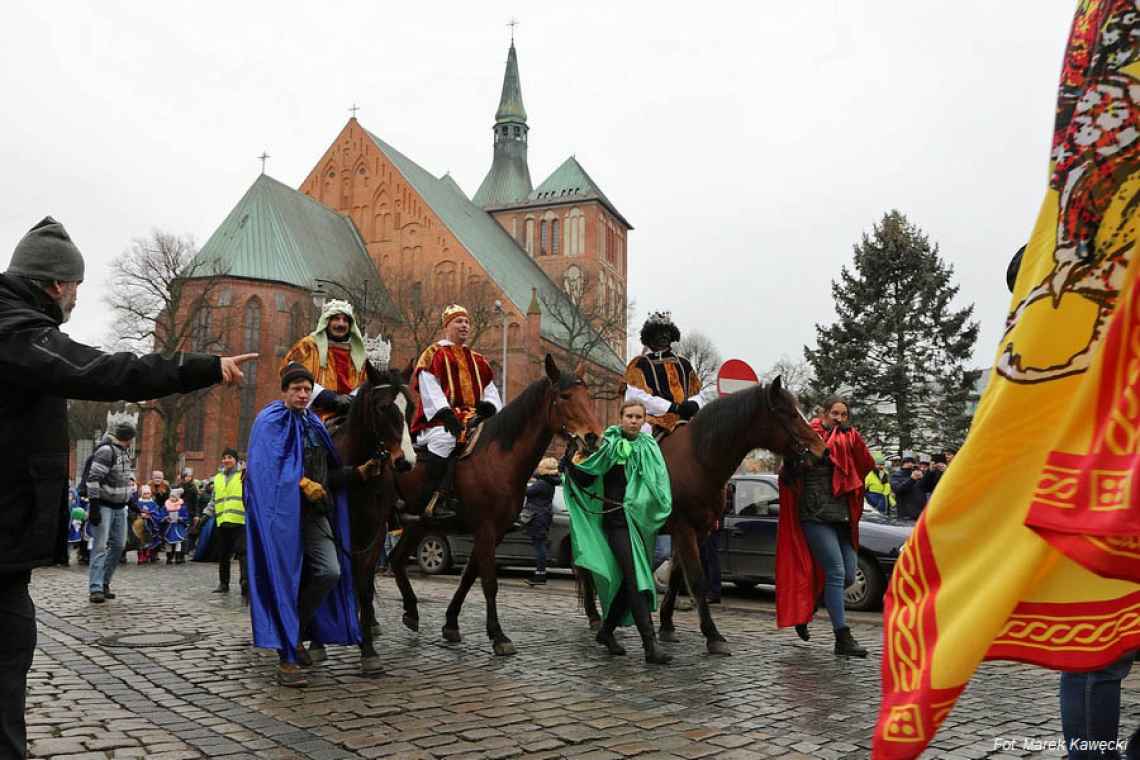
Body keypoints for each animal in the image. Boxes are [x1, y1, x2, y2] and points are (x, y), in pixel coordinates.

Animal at [310, 360, 417, 674]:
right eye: (382, 407)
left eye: (411, 407)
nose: (406, 461)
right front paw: (317, 643)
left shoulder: (374, 534)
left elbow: (364, 587)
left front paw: (368, 649)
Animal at [387, 353, 606, 656]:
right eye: (565, 396)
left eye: (588, 395)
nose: (594, 437)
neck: (499, 458)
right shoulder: (486, 529)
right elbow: (489, 582)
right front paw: (498, 635)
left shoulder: (494, 531)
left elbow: (470, 575)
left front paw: (451, 623)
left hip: (417, 523)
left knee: (395, 560)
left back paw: (409, 611)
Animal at [583, 378, 825, 656]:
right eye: (790, 413)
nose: (822, 450)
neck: (699, 461)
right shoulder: (684, 528)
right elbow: (697, 579)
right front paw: (713, 635)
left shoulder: (698, 530)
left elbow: (677, 575)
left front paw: (667, 625)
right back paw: (595, 618)